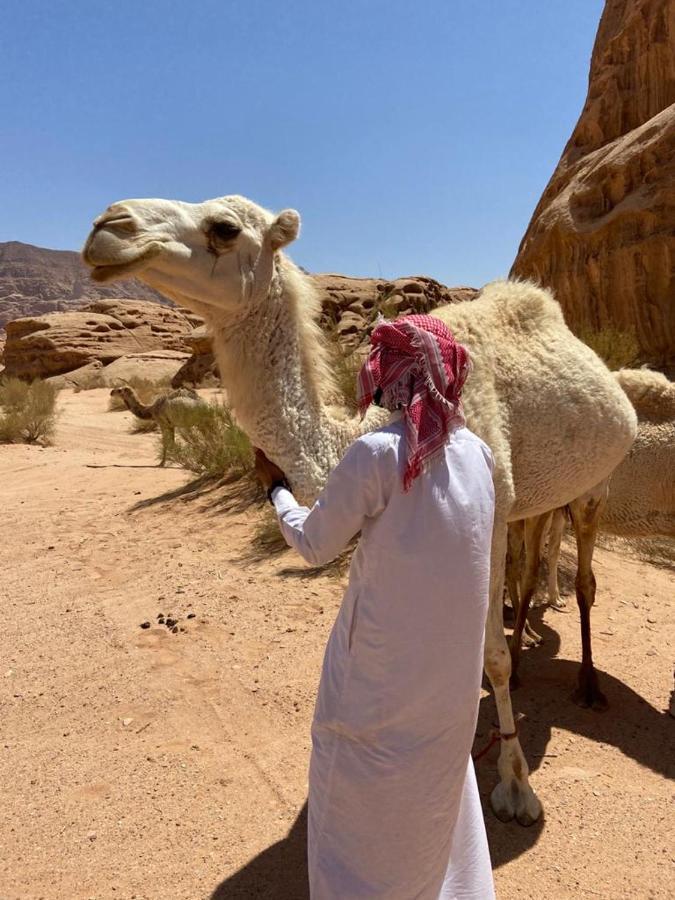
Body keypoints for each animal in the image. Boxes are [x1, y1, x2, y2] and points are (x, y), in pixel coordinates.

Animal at [80, 193, 640, 828]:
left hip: (600, 478)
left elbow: (490, 655)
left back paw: (586, 681)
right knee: (533, 550)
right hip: (537, 494)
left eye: (223, 228)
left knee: (583, 561)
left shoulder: (490, 507)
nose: (109, 226)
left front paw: (516, 787)